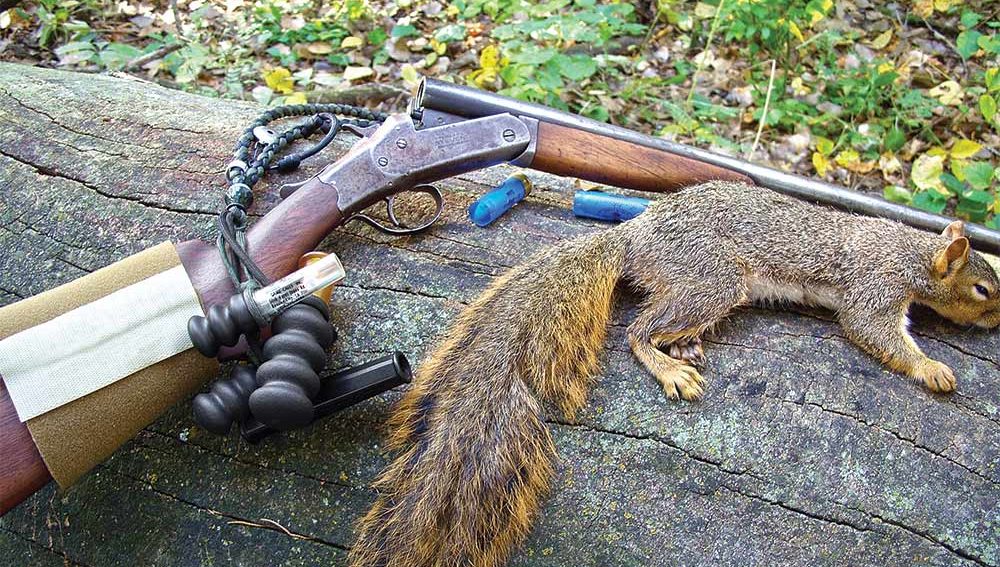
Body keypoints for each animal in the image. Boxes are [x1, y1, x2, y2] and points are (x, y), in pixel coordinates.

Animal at [347, 180, 1000, 567]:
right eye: (983, 289)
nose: (996, 320)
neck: (909, 252)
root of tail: (635, 234)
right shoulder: (872, 288)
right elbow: (876, 332)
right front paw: (933, 368)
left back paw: (684, 349)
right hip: (711, 278)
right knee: (637, 331)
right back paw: (670, 366)